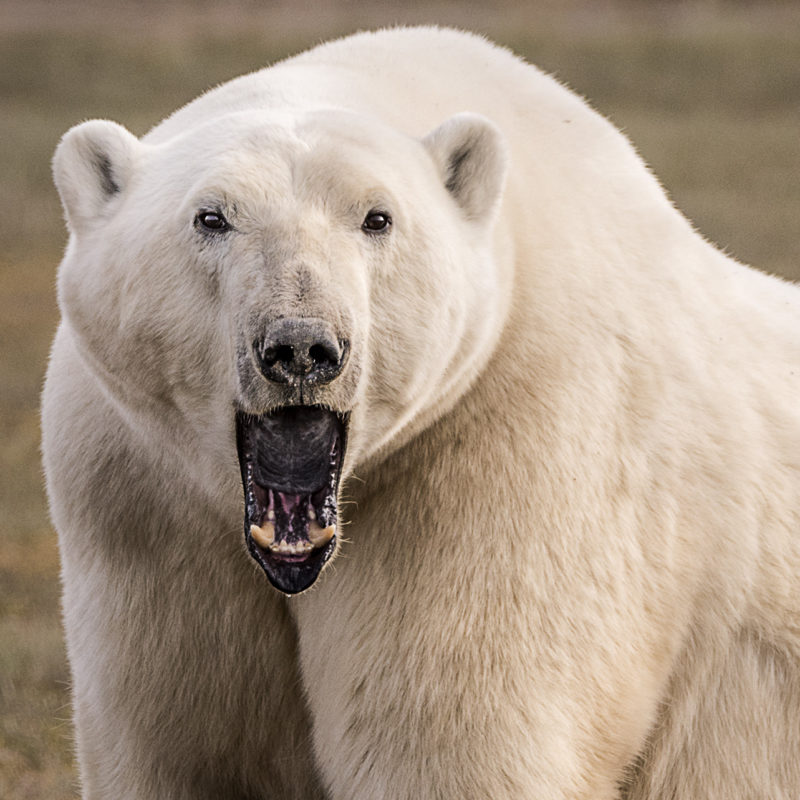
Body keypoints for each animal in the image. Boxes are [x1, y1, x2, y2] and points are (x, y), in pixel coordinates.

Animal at [43, 25, 800, 800]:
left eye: (378, 217)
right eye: (210, 216)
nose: (301, 345)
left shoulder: (495, 458)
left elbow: (449, 746)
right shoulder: (144, 505)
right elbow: (180, 744)